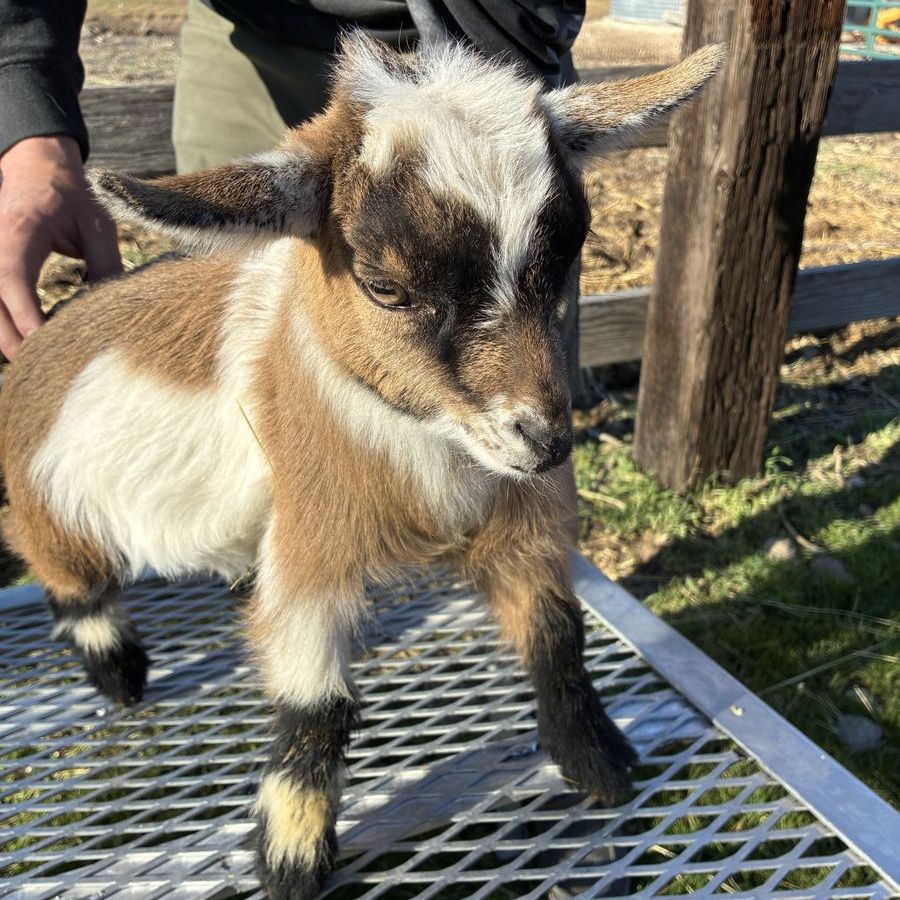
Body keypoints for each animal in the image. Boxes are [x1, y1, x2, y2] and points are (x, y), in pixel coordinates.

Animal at [0, 34, 724, 899]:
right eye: (384, 286)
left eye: (566, 257)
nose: (545, 443)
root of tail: (41, 336)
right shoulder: (312, 542)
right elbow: (316, 703)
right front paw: (291, 855)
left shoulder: (523, 522)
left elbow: (556, 635)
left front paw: (597, 760)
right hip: (49, 509)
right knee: (65, 577)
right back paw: (119, 674)